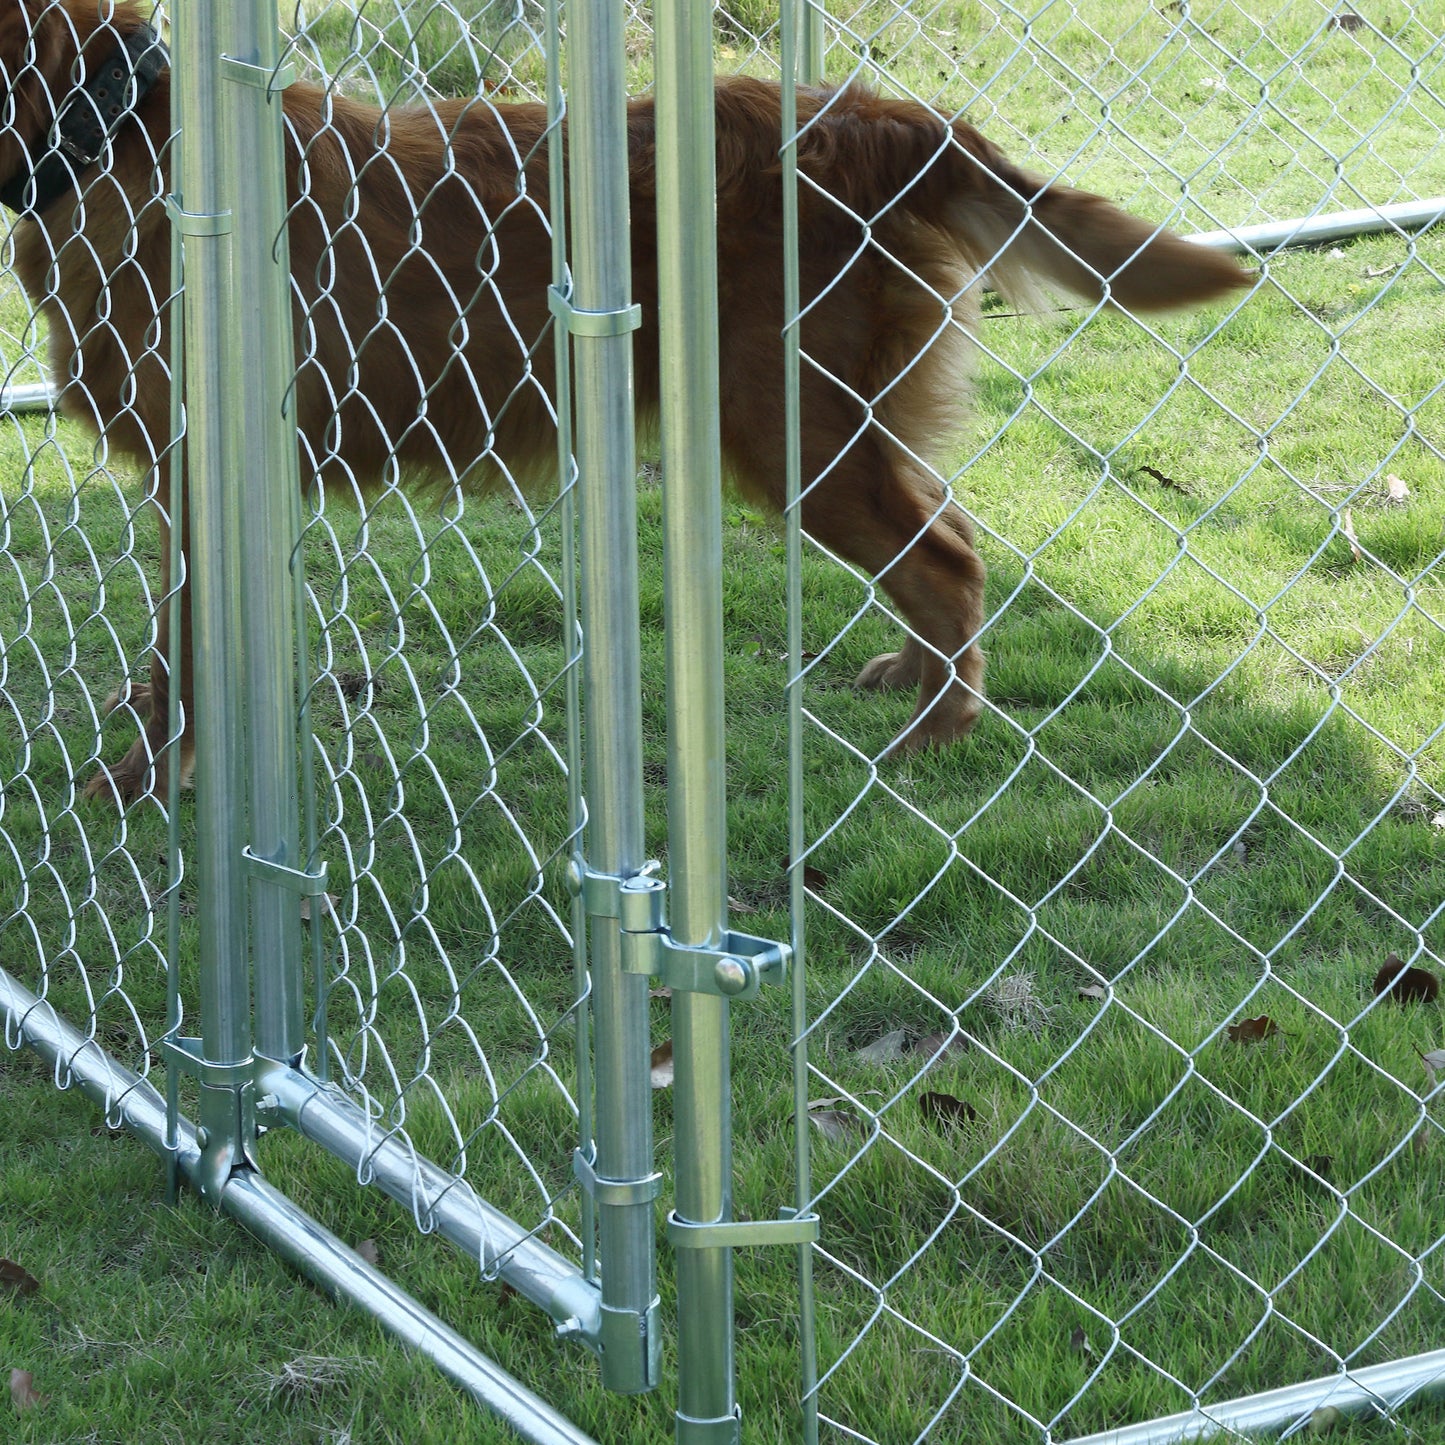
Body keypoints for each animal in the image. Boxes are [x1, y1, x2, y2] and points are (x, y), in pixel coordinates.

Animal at [0, 0, 1248, 803]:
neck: (113, 133)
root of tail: (875, 116)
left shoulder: (206, 471)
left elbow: (182, 656)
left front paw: (149, 779)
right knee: (944, 533)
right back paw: (915, 682)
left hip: (787, 424)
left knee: (944, 556)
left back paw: (936, 733)